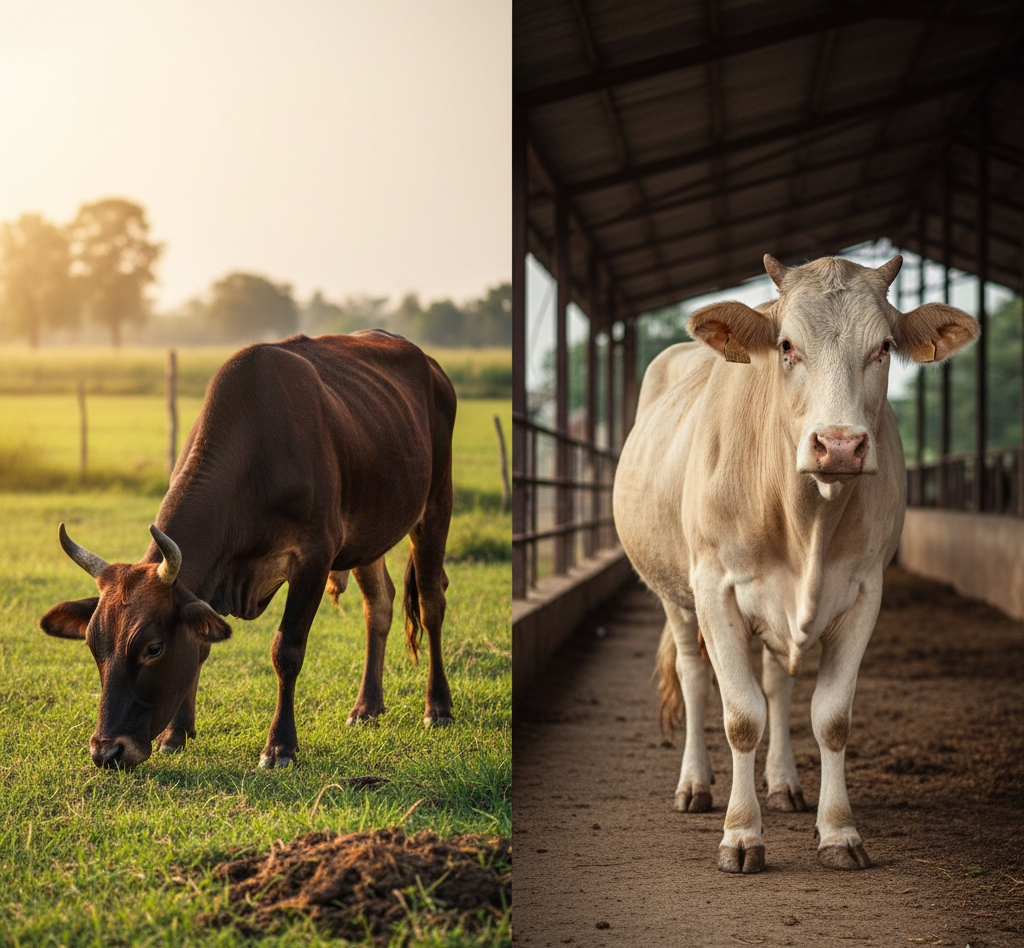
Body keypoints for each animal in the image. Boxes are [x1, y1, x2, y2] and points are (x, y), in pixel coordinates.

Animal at [40, 330, 456, 770]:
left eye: (153, 648)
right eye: (93, 644)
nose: (106, 750)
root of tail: (430, 364)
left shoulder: (314, 558)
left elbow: (286, 650)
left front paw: (280, 746)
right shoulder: (210, 580)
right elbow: (201, 647)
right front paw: (176, 734)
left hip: (436, 505)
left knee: (431, 602)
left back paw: (438, 707)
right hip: (368, 535)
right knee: (378, 605)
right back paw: (366, 707)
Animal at [613, 254, 979, 873]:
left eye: (884, 346)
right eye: (786, 345)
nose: (839, 444)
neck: (804, 518)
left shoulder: (864, 591)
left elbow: (830, 717)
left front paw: (839, 832)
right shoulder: (714, 587)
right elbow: (740, 717)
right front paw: (741, 836)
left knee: (775, 683)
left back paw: (783, 784)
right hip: (675, 595)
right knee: (694, 676)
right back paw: (695, 785)